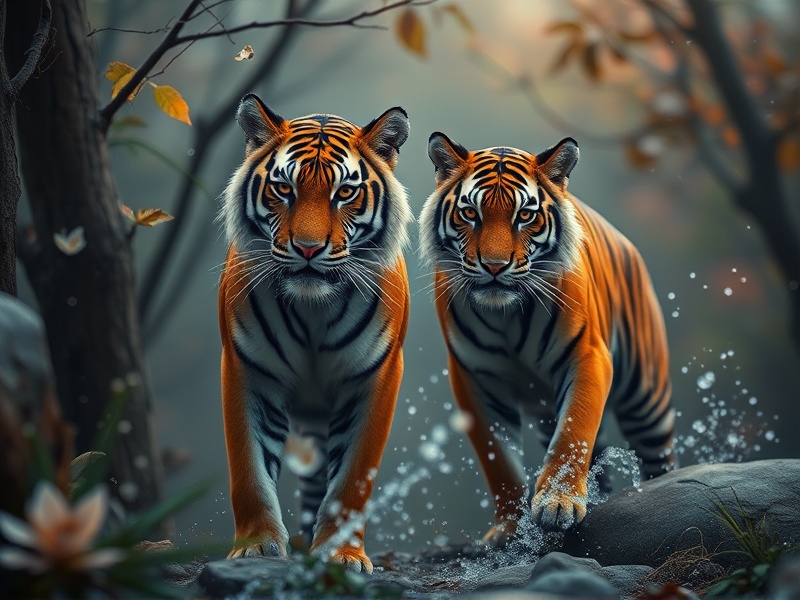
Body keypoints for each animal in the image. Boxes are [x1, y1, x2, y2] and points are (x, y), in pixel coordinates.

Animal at [217, 93, 411, 572]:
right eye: (284, 188)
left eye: (345, 192)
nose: (307, 249)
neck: (312, 308)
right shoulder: (247, 370)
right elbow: (249, 470)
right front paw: (256, 546)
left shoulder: (375, 377)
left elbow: (352, 480)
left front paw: (341, 554)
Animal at [419, 133, 676, 540]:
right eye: (470, 213)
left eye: (524, 215)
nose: (494, 266)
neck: (504, 314)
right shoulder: (475, 380)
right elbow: (499, 462)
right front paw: (509, 529)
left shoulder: (587, 356)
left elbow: (573, 433)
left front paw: (559, 504)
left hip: (646, 398)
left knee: (659, 458)